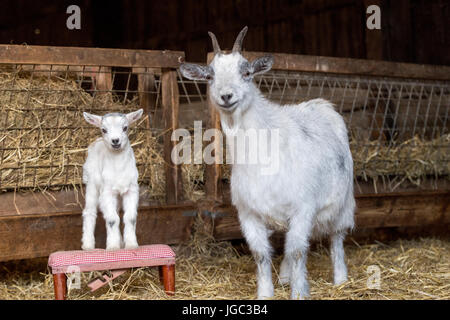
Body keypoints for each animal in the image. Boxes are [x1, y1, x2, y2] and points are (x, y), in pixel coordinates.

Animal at [81, 109, 142, 251]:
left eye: (125, 128)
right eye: (104, 130)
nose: (115, 140)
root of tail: (96, 142)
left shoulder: (131, 190)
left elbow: (130, 218)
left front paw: (131, 245)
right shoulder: (107, 192)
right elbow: (112, 219)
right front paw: (113, 247)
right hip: (92, 183)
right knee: (89, 212)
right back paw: (88, 245)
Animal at [179, 28, 356, 300]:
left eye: (246, 73)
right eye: (210, 76)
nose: (226, 96)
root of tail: (322, 104)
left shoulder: (303, 208)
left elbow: (298, 251)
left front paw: (299, 293)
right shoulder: (248, 213)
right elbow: (261, 254)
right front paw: (265, 293)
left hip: (343, 201)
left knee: (336, 236)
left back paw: (340, 279)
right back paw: (284, 276)